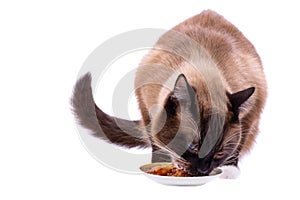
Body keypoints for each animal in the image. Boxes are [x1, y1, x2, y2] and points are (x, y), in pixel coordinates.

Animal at [72, 10, 268, 177]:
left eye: (219, 152)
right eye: (193, 147)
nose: (203, 170)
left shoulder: (252, 113)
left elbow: (237, 147)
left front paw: (229, 171)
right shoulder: (144, 99)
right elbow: (155, 140)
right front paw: (159, 164)